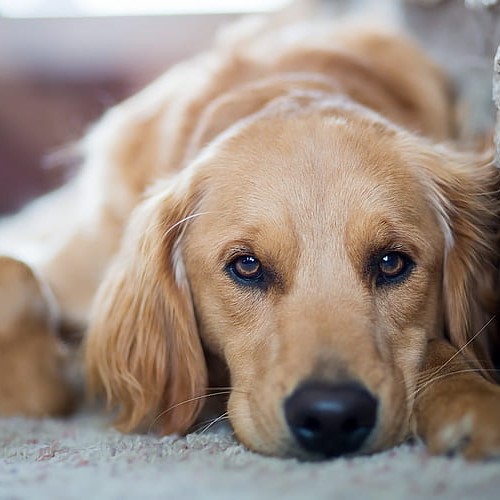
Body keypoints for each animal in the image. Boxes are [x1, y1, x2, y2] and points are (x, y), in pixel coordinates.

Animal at [0, 17, 500, 458]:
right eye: (247, 265)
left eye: (392, 262)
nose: (332, 417)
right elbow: (19, 275)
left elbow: (443, 349)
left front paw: (470, 398)